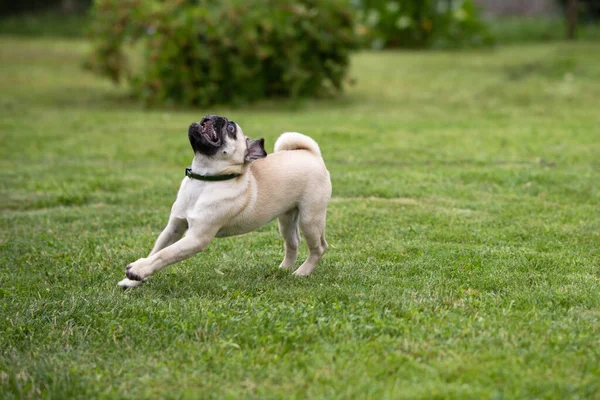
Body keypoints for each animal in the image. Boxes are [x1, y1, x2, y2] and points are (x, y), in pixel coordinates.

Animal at [119, 114, 330, 290]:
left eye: (230, 128)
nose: (214, 116)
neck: (204, 179)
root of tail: (311, 154)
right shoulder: (174, 228)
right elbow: (156, 251)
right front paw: (132, 281)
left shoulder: (197, 238)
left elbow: (164, 255)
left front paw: (138, 270)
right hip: (286, 219)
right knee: (293, 242)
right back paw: (284, 269)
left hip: (310, 219)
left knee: (319, 248)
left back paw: (302, 272)